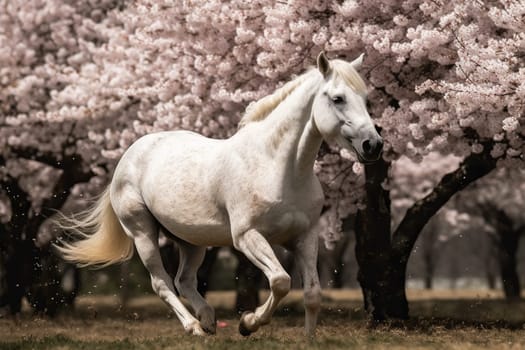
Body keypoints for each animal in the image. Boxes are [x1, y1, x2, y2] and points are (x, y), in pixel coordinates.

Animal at [56, 52, 380, 336]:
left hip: (191, 241)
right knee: (162, 283)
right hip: (143, 233)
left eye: (365, 99)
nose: (373, 145)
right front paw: (248, 323)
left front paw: (307, 338)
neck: (277, 166)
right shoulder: (247, 236)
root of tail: (129, 154)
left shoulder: (306, 236)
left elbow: (312, 293)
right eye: (337, 98)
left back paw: (209, 321)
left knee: (184, 280)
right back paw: (194, 327)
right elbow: (280, 281)